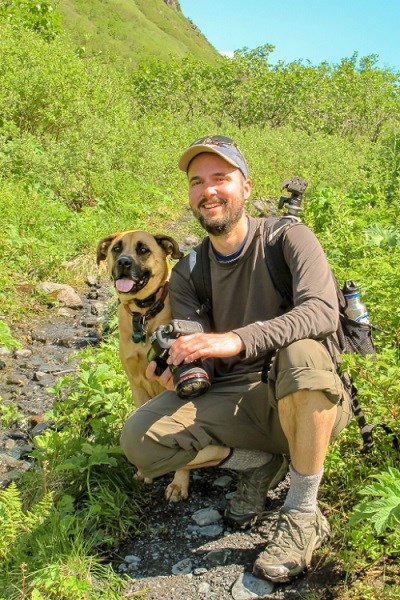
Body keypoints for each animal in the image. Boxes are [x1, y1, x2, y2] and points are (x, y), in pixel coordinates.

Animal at [97, 230, 191, 502]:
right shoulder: (136, 384)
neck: (144, 314)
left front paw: (179, 483)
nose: (124, 262)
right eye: (116, 248)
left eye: (143, 250)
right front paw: (144, 472)